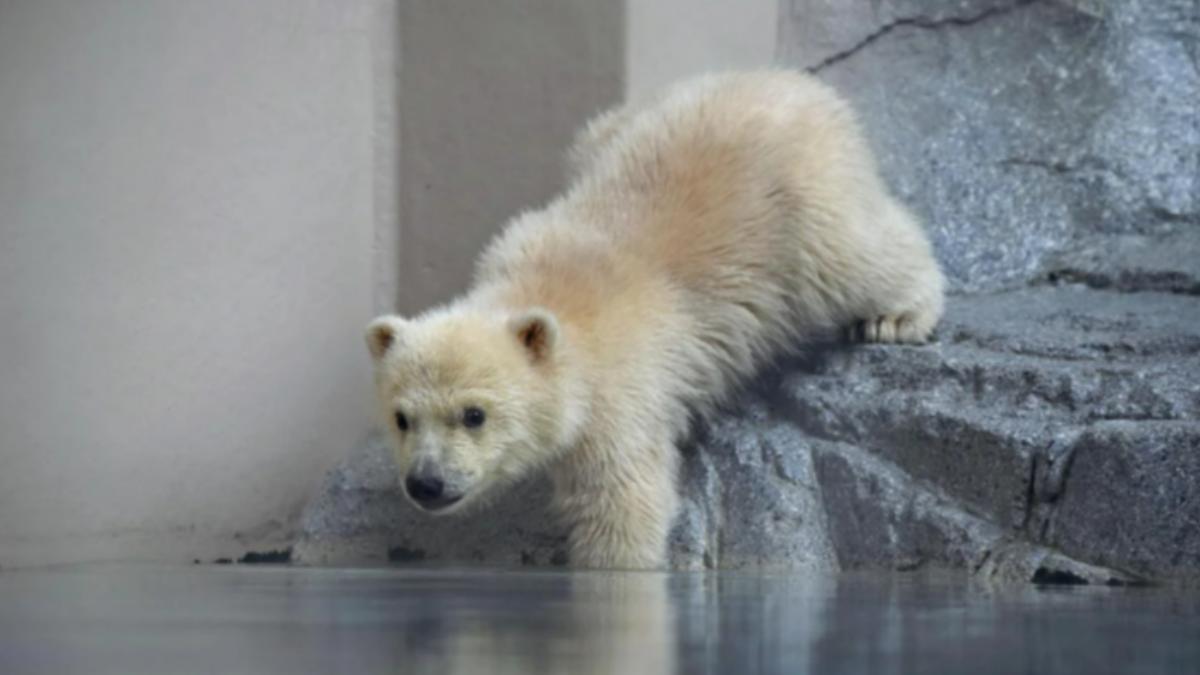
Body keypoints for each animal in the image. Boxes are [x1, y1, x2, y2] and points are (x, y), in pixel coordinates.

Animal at [365, 70, 945, 569]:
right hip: (610, 129)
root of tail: (797, 83)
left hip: (801, 207)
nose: (426, 484)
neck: (544, 289)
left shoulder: (619, 392)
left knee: (852, 257)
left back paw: (898, 314)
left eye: (474, 414)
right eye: (401, 417)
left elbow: (622, 502)